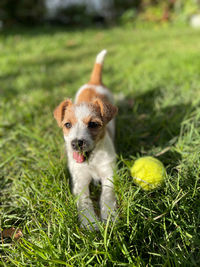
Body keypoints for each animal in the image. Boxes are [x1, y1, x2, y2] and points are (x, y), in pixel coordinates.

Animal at [54, 49, 118, 229]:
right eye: (67, 124)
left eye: (93, 124)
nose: (76, 143)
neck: (91, 160)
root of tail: (93, 82)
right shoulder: (80, 179)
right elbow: (84, 200)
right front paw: (90, 221)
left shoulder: (108, 172)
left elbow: (107, 195)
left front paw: (109, 216)